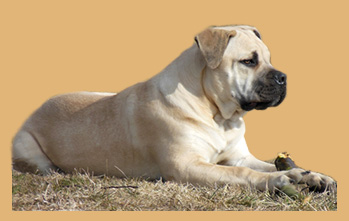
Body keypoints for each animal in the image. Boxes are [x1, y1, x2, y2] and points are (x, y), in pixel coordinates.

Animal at [12, 25, 334, 193]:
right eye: (249, 61)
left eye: (268, 58)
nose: (283, 78)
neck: (216, 113)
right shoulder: (187, 166)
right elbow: (242, 173)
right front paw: (278, 179)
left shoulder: (241, 155)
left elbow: (267, 163)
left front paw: (311, 175)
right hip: (28, 148)